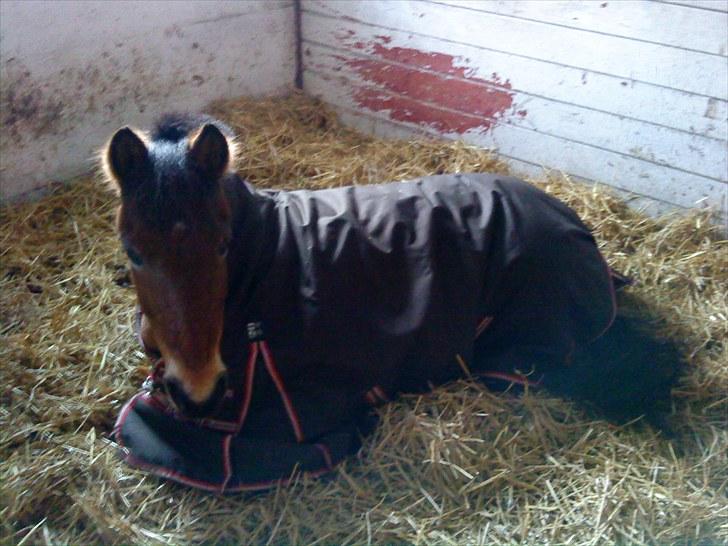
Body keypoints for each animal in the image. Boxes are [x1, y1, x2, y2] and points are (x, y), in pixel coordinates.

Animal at [108, 115, 684, 488]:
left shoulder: (283, 423)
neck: (263, 263)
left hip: (521, 354)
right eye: (133, 252)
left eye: (225, 244)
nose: (200, 393)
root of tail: (578, 228)